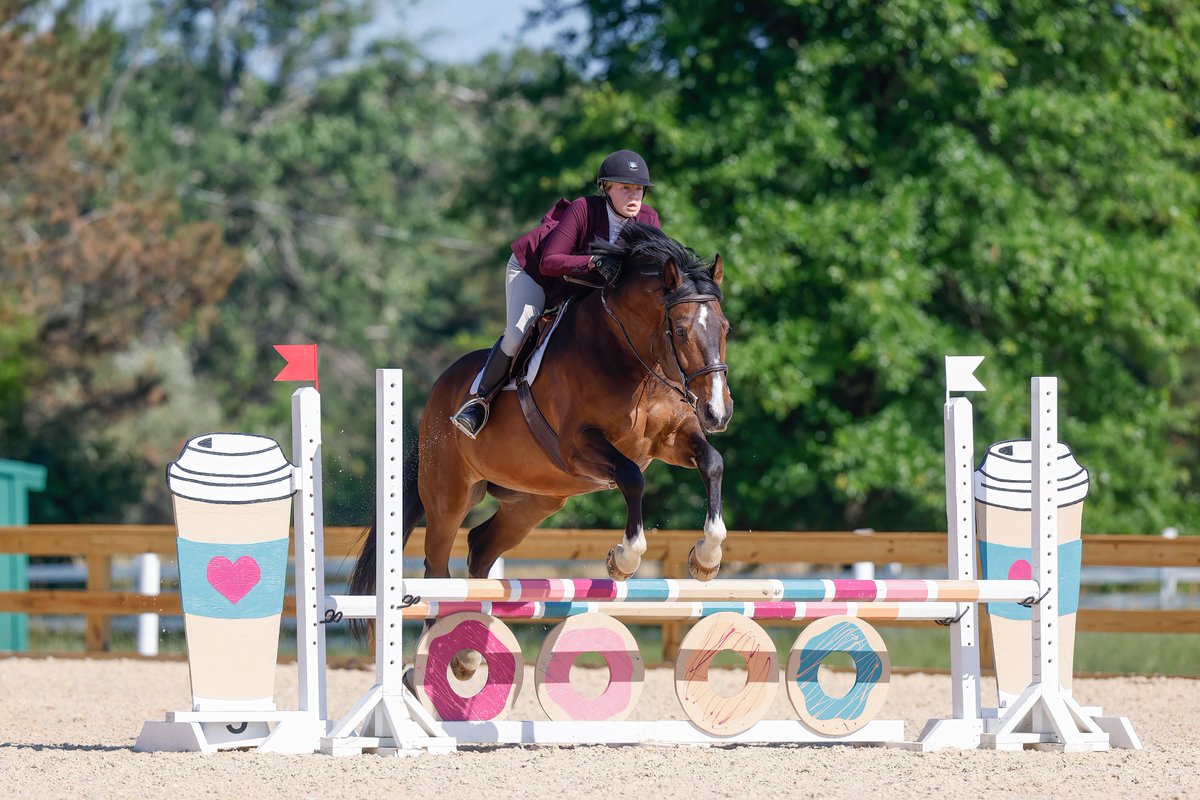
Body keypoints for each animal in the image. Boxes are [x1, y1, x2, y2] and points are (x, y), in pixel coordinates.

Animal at [349, 222, 733, 676]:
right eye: (681, 331)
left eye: (725, 328)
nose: (718, 412)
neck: (631, 357)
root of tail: (438, 392)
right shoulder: (578, 446)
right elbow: (632, 478)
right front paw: (624, 558)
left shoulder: (671, 439)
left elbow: (712, 463)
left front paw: (706, 558)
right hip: (449, 496)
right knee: (438, 567)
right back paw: (434, 658)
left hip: (533, 502)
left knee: (480, 547)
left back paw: (466, 653)